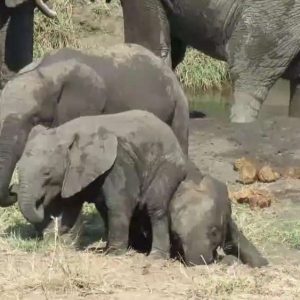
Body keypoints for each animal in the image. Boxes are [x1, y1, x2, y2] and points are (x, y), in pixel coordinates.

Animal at [13, 110, 188, 258]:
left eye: (47, 173)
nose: (41, 202)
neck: (66, 133)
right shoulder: (73, 174)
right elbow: (71, 206)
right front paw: (67, 246)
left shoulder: (119, 161)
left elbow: (119, 203)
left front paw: (114, 254)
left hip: (167, 165)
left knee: (154, 206)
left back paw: (155, 257)